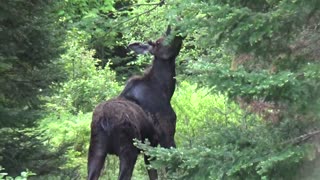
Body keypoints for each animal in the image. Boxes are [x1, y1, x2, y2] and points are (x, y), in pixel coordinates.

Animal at [87, 25, 184, 180]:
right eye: (158, 42)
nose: (177, 30)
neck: (165, 89)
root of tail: (104, 121)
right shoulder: (166, 134)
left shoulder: (150, 145)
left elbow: (153, 174)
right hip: (128, 149)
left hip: (96, 149)